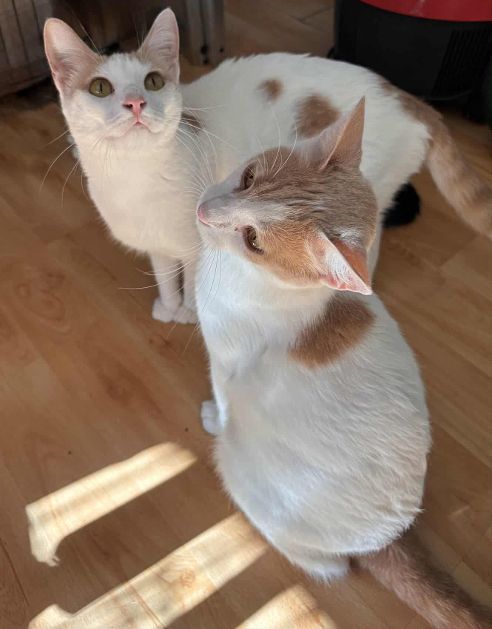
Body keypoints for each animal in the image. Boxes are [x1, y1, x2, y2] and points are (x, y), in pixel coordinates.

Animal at [43, 9, 492, 324]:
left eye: (153, 81)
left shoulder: (199, 242)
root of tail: (413, 101)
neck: (136, 177)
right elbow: (165, 274)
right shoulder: (157, 243)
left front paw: (190, 312)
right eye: (100, 88)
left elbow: (192, 279)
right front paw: (169, 307)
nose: (135, 103)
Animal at [194, 101, 491, 629]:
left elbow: (222, 398)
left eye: (252, 240)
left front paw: (212, 415)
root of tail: (389, 537)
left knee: (327, 567)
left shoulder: (224, 362)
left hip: (240, 474)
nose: (205, 211)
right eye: (247, 177)